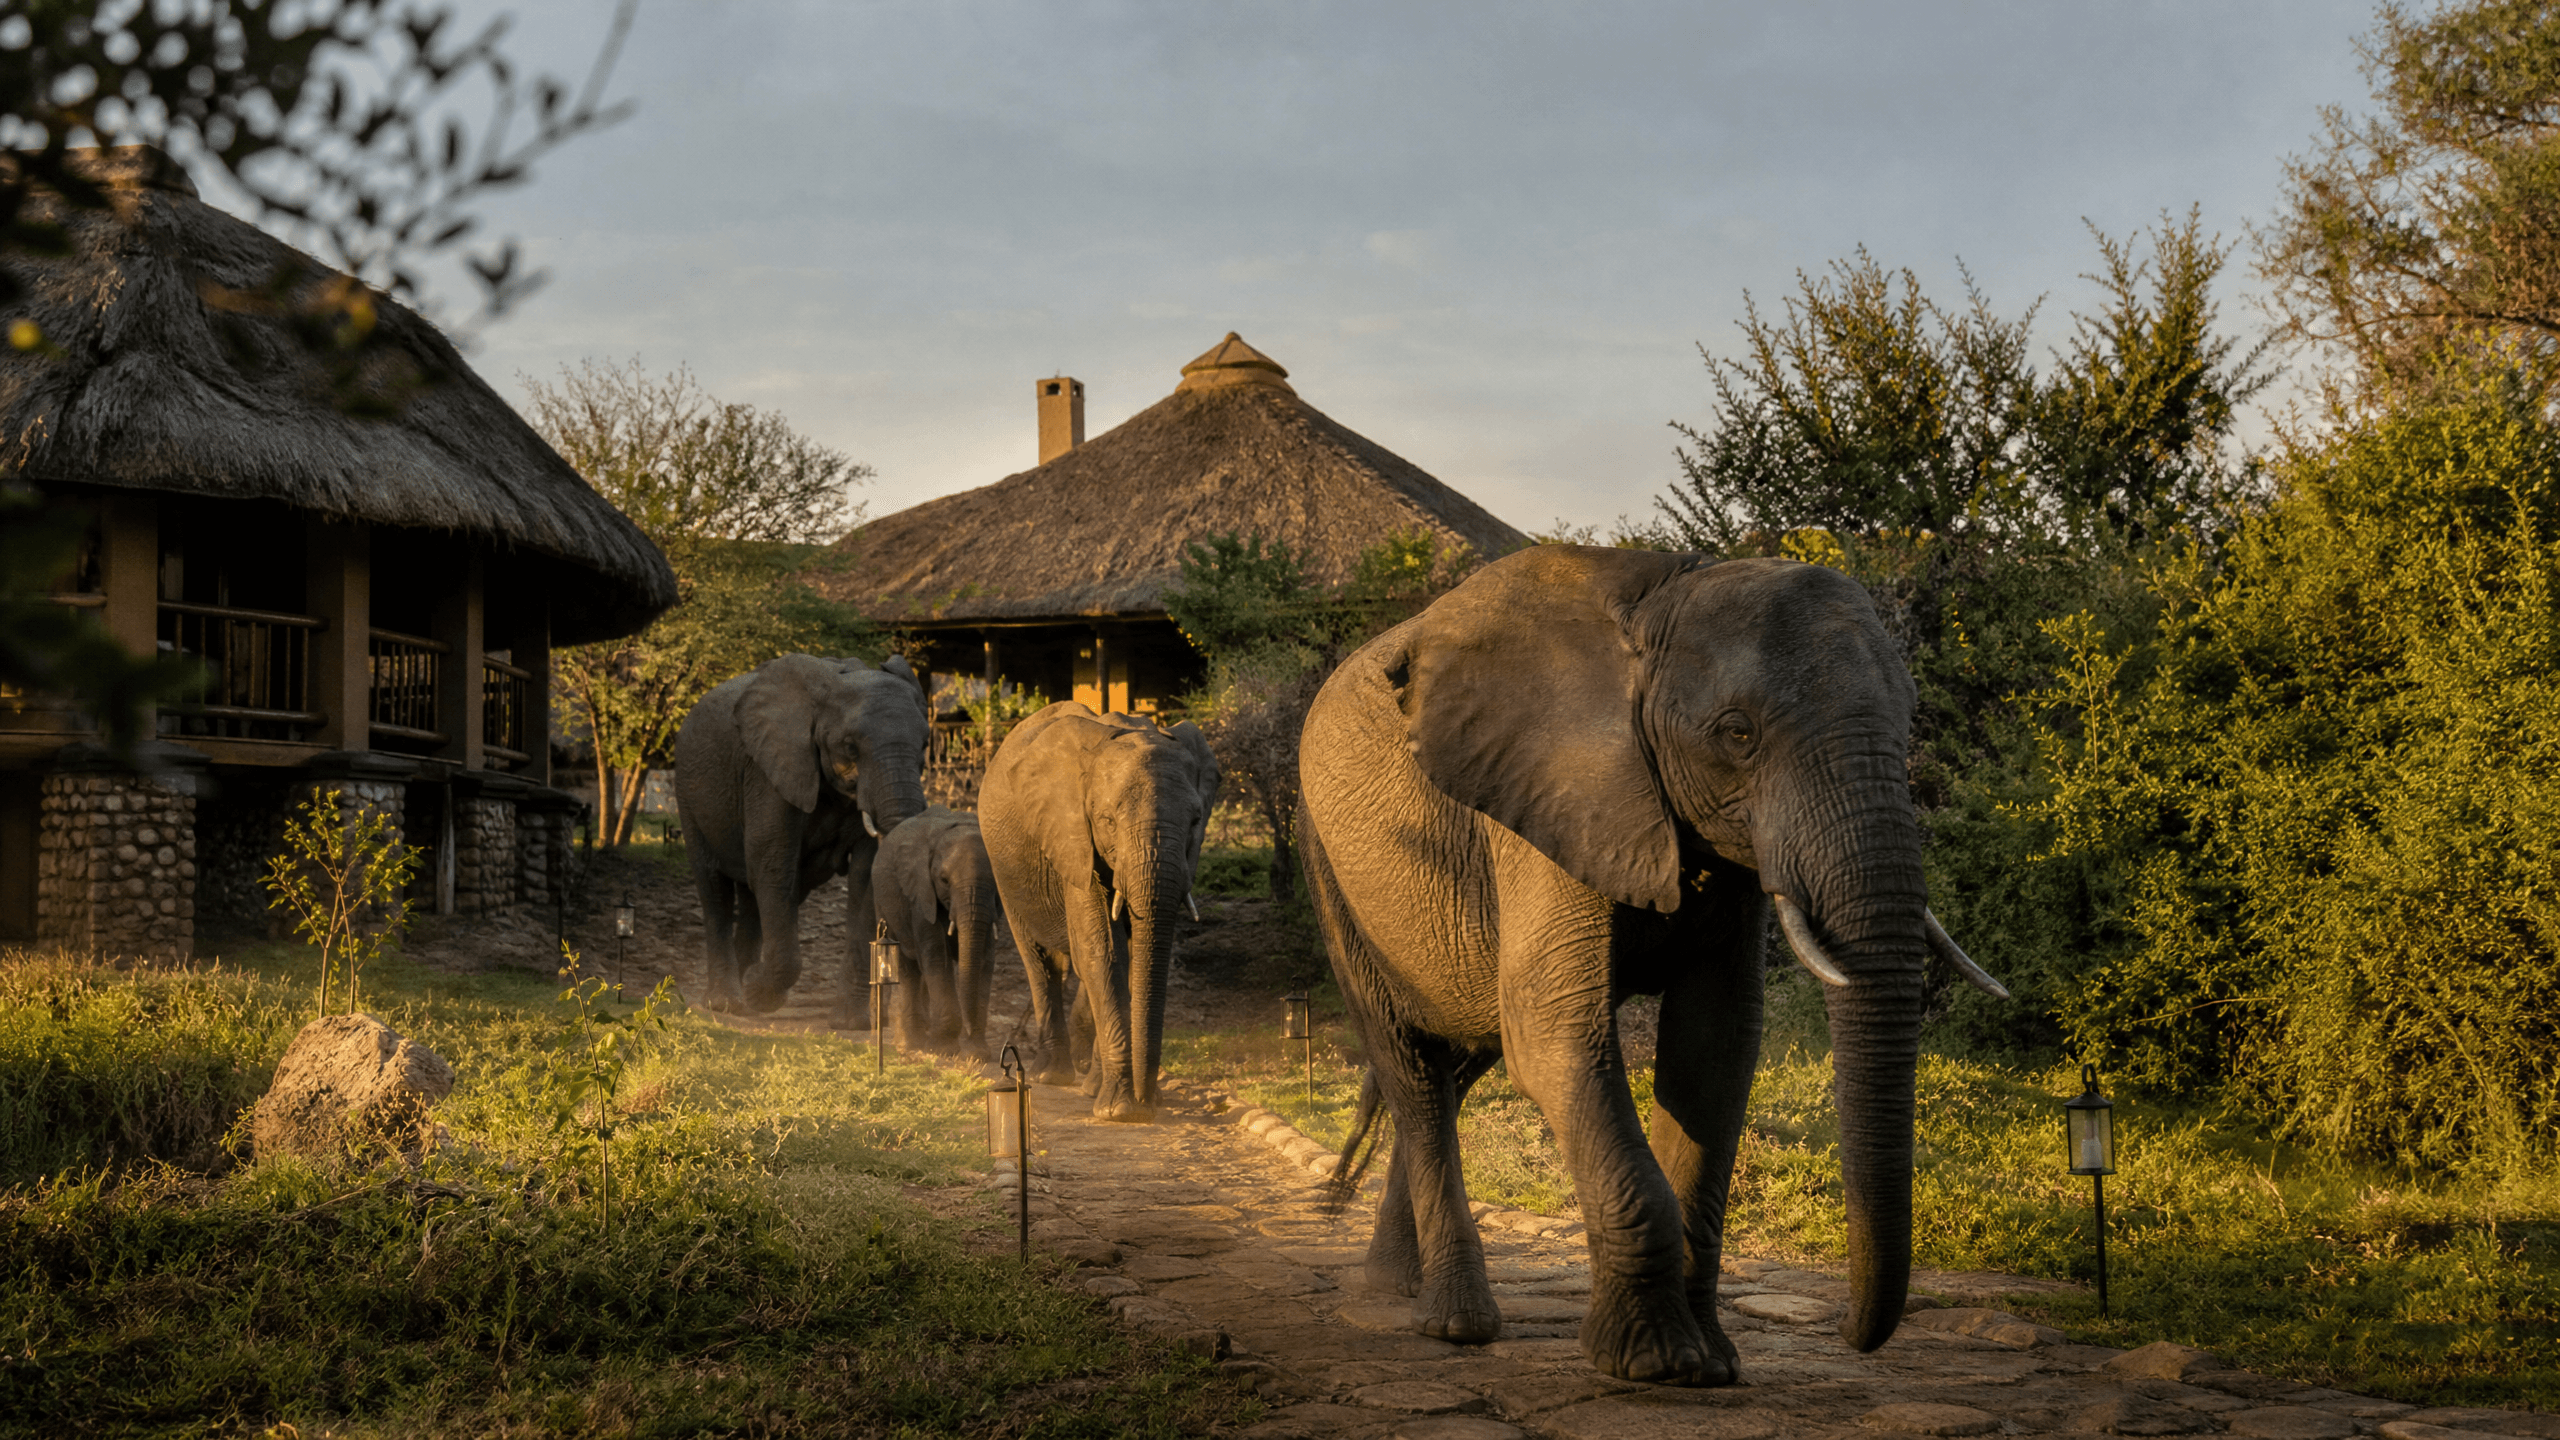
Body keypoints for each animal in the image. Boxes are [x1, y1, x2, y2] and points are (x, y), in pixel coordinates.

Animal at [672, 652, 931, 1023]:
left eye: (925, 744)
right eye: (850, 746)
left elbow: (865, 874)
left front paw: (852, 1023)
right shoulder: (767, 770)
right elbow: (772, 858)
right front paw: (759, 993)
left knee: (755, 896)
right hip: (688, 793)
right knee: (715, 887)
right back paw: (728, 1003)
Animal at [870, 804, 1002, 1057]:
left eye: (997, 882)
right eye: (943, 880)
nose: (969, 1037)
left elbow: (984, 958)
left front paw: (978, 1053)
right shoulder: (921, 895)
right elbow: (936, 955)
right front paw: (944, 1050)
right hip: (884, 906)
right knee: (908, 968)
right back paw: (914, 1043)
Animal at [978, 702, 1221, 1122]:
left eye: (1195, 821)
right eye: (1107, 821)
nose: (1148, 1102)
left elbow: (1128, 956)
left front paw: (1122, 1101)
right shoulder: (1073, 837)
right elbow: (1103, 952)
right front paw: (1120, 1112)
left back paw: (1086, 1080)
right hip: (1005, 870)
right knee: (1040, 961)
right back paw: (1051, 1075)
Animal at [1298, 545, 2006, 1387]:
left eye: (1907, 728)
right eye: (1738, 734)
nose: (1849, 1334)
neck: (1661, 607)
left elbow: (1716, 1043)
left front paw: (1714, 1365)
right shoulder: (1551, 797)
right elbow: (1555, 1033)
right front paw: (1656, 1364)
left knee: (1458, 1062)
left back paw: (1393, 1291)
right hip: (1330, 870)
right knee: (1412, 1069)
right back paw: (1454, 1325)